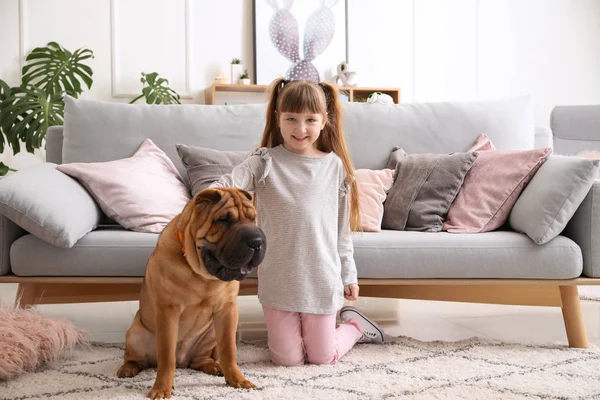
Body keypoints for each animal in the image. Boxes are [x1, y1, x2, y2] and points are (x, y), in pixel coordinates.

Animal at [116, 187, 264, 396]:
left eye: (252, 218)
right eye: (223, 220)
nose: (256, 242)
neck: (202, 275)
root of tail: (183, 361)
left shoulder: (227, 310)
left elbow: (229, 350)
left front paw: (238, 380)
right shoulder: (168, 311)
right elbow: (166, 356)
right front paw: (161, 389)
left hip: (210, 334)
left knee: (200, 360)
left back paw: (214, 367)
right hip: (135, 334)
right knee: (136, 359)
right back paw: (128, 369)